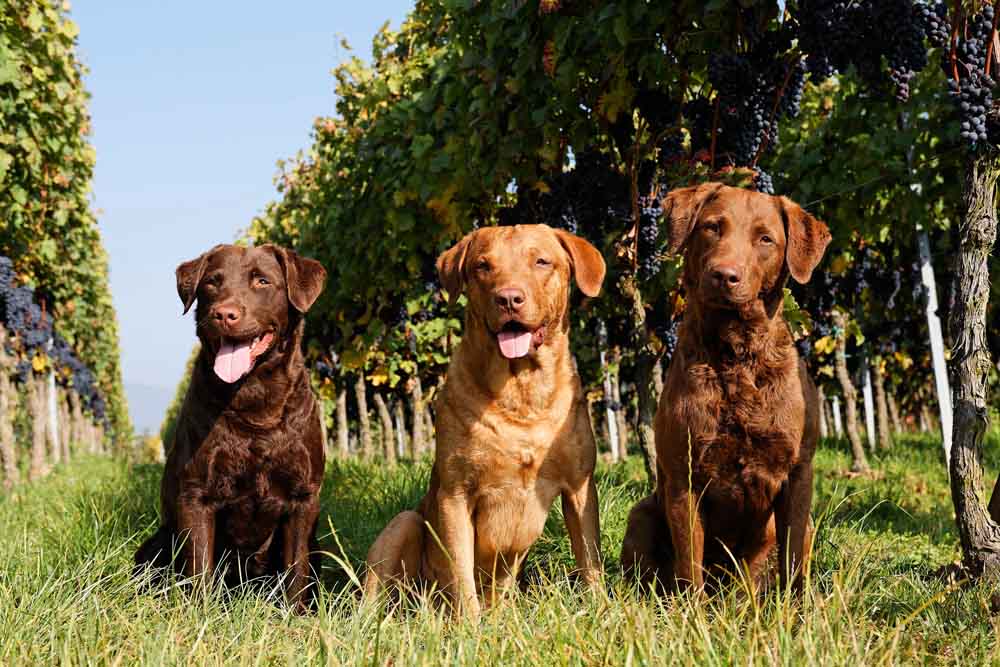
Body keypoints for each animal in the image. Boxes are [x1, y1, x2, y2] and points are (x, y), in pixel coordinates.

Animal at [133, 244, 326, 612]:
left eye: (262, 281)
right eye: (212, 282)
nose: (224, 314)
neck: (254, 399)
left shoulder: (303, 497)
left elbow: (296, 570)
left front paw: (296, 616)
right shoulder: (196, 495)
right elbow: (199, 568)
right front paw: (200, 616)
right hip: (157, 542)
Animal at [620, 184, 832, 596]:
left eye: (765, 239)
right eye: (712, 227)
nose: (724, 275)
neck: (737, 354)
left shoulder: (799, 471)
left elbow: (793, 561)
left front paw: (797, 610)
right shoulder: (684, 476)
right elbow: (690, 565)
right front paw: (692, 612)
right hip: (642, 513)